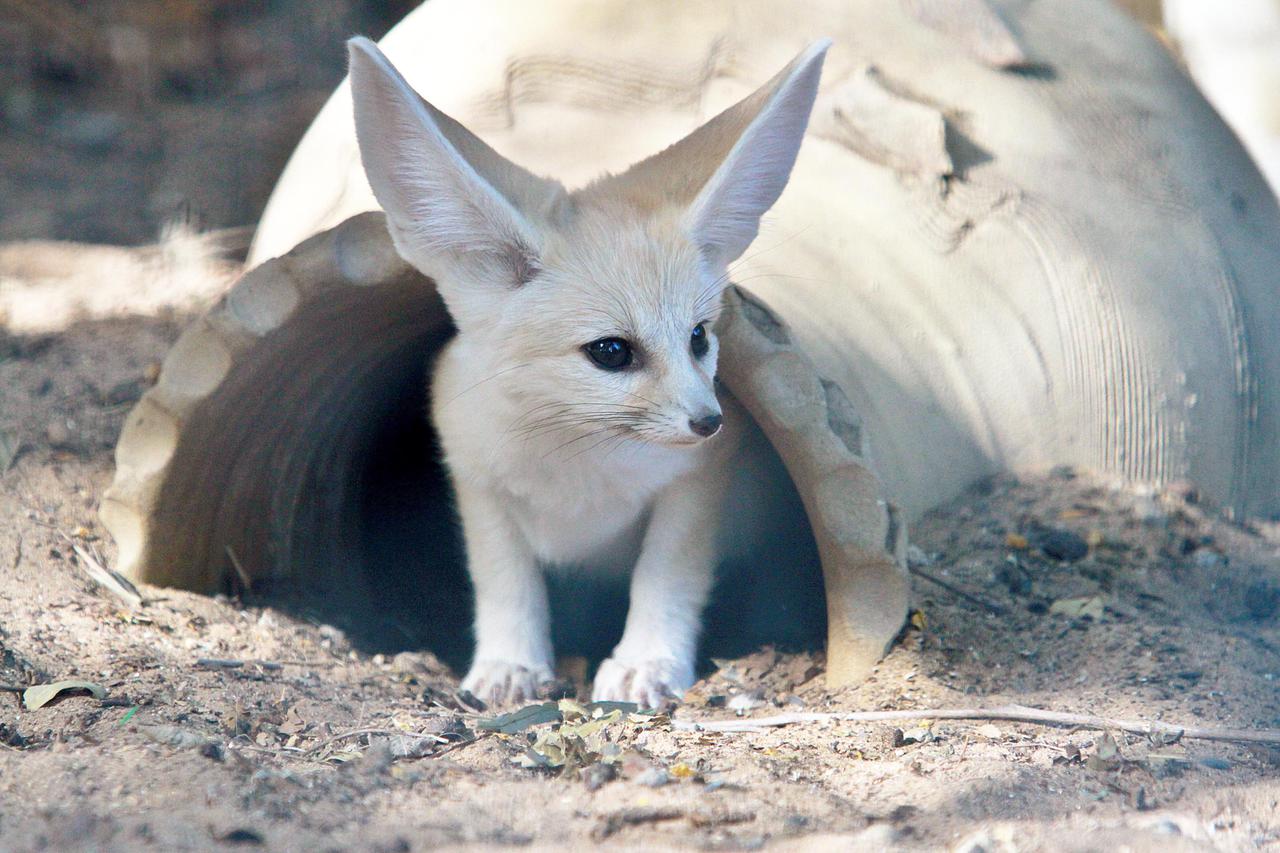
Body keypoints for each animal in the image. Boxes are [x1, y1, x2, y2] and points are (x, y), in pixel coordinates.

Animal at [350, 36, 829, 701]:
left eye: (699, 337)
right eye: (611, 352)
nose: (709, 421)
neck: (574, 464)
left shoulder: (697, 480)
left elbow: (665, 576)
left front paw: (646, 662)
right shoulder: (477, 480)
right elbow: (506, 581)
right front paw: (510, 664)